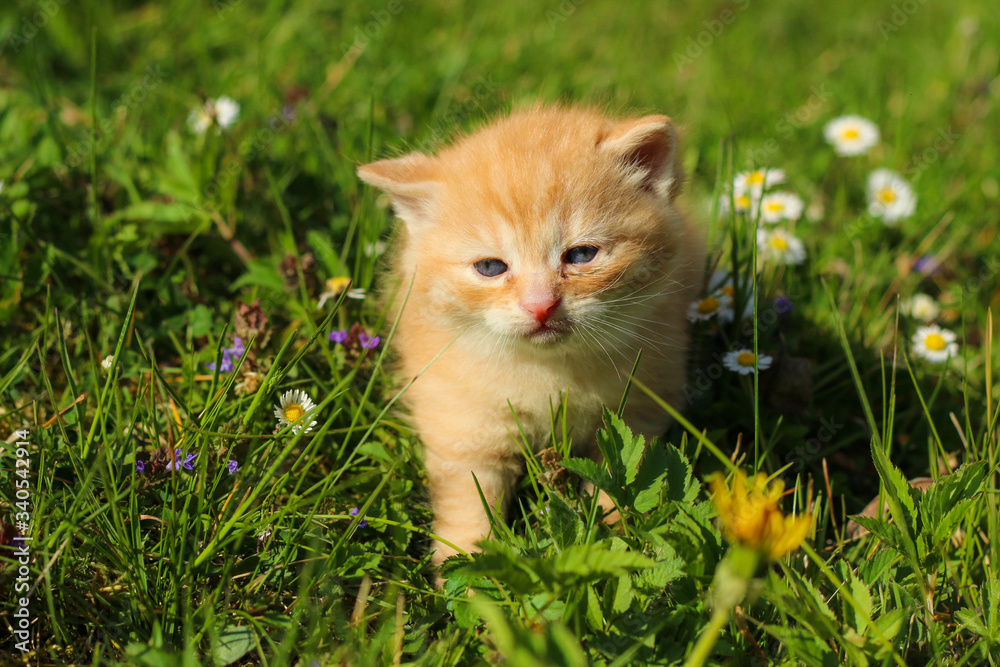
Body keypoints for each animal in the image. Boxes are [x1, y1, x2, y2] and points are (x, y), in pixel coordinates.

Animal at [358, 104, 704, 576]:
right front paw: (467, 568)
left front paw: (617, 544)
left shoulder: (642, 405)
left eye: (581, 255)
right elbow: (468, 500)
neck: (549, 372)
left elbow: (621, 482)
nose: (541, 306)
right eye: (490, 267)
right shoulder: (461, 421)